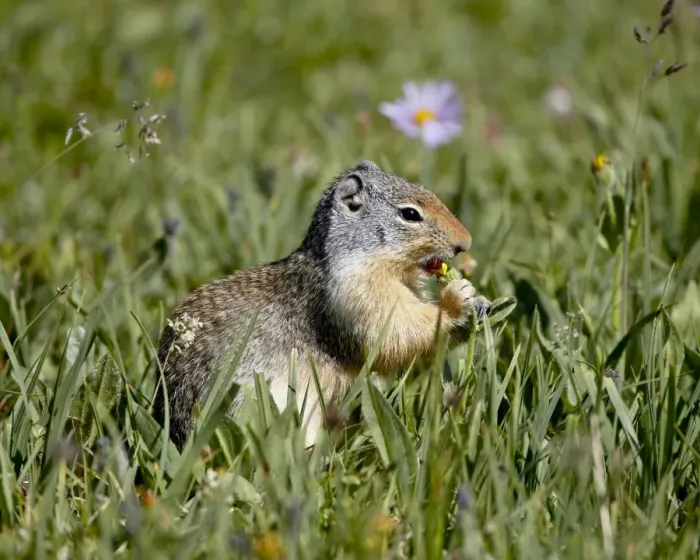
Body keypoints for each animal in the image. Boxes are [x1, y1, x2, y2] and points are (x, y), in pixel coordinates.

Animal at [153, 160, 488, 449]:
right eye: (410, 214)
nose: (466, 242)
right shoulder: (358, 294)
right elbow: (396, 333)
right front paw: (458, 297)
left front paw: (480, 302)